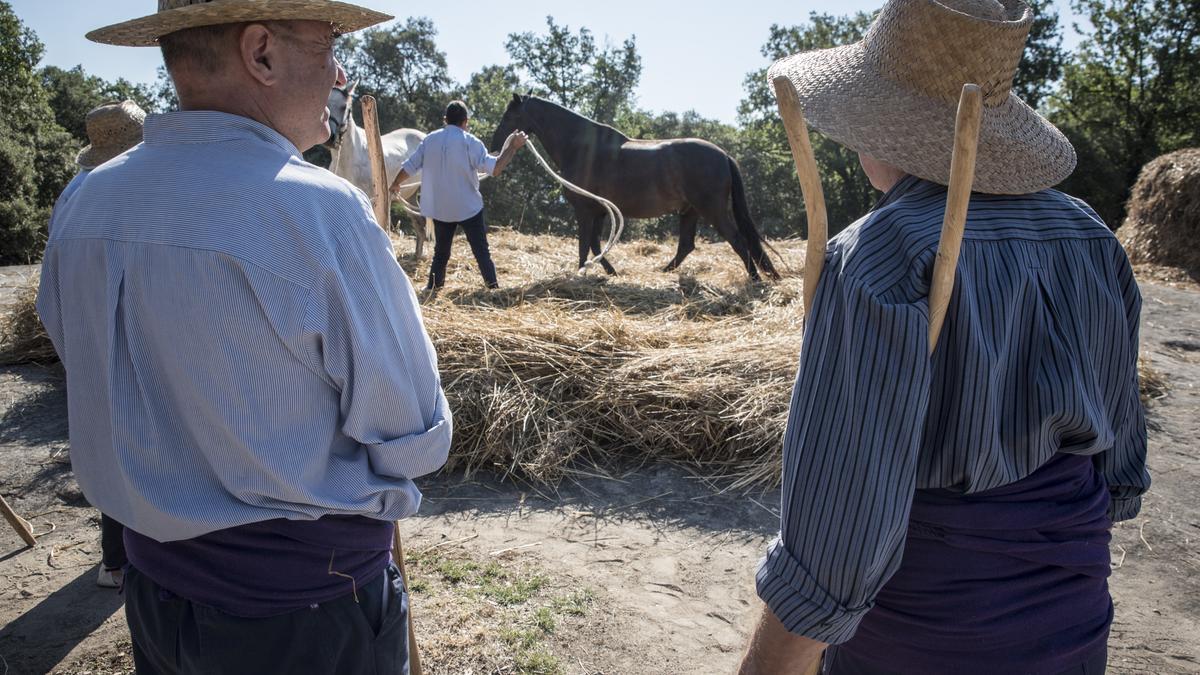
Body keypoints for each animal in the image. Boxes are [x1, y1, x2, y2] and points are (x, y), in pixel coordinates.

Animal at [492, 93, 782, 278]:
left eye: (508, 116)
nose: (495, 144)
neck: (581, 148)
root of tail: (723, 155)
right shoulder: (600, 211)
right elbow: (596, 244)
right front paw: (610, 271)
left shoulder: (584, 210)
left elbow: (585, 244)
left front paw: (582, 272)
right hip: (690, 211)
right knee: (686, 246)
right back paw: (664, 272)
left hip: (713, 211)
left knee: (738, 241)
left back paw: (754, 279)